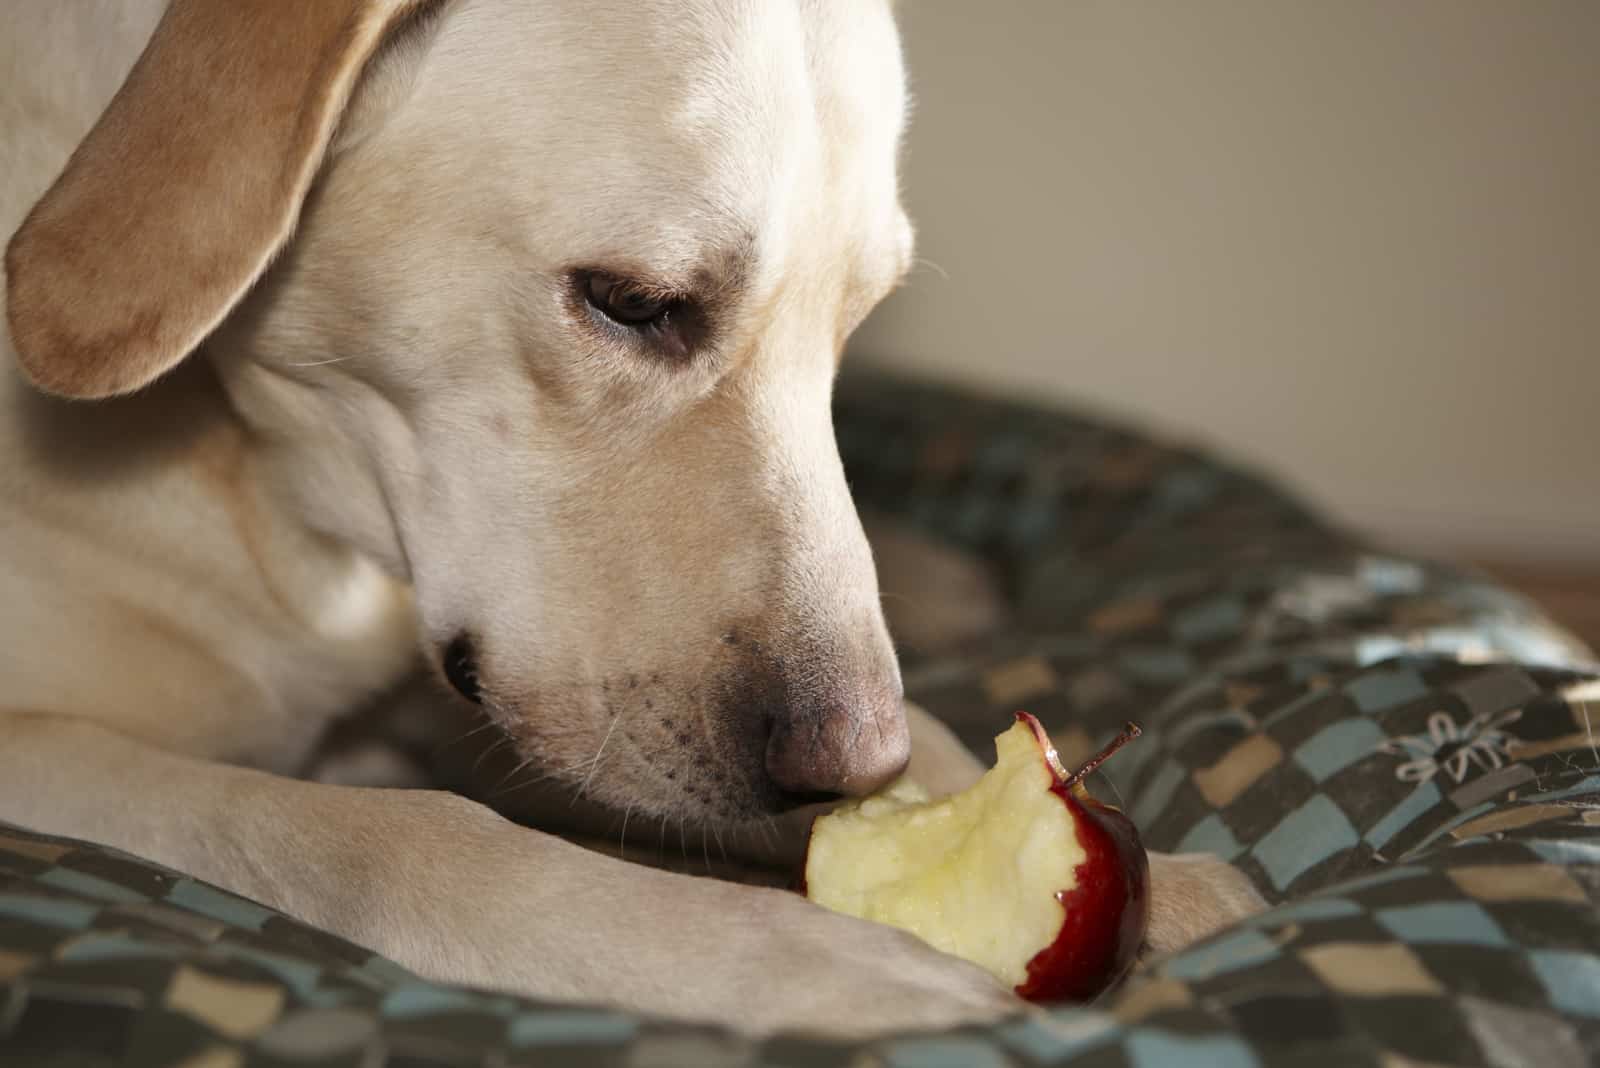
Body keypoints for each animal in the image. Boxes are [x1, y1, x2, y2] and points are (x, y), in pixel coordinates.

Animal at [0, 0, 1260, 1036]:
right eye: (634, 303)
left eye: (851, 324)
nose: (853, 764)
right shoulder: (52, 754)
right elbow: (372, 831)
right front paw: (790, 959)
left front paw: (1135, 871)